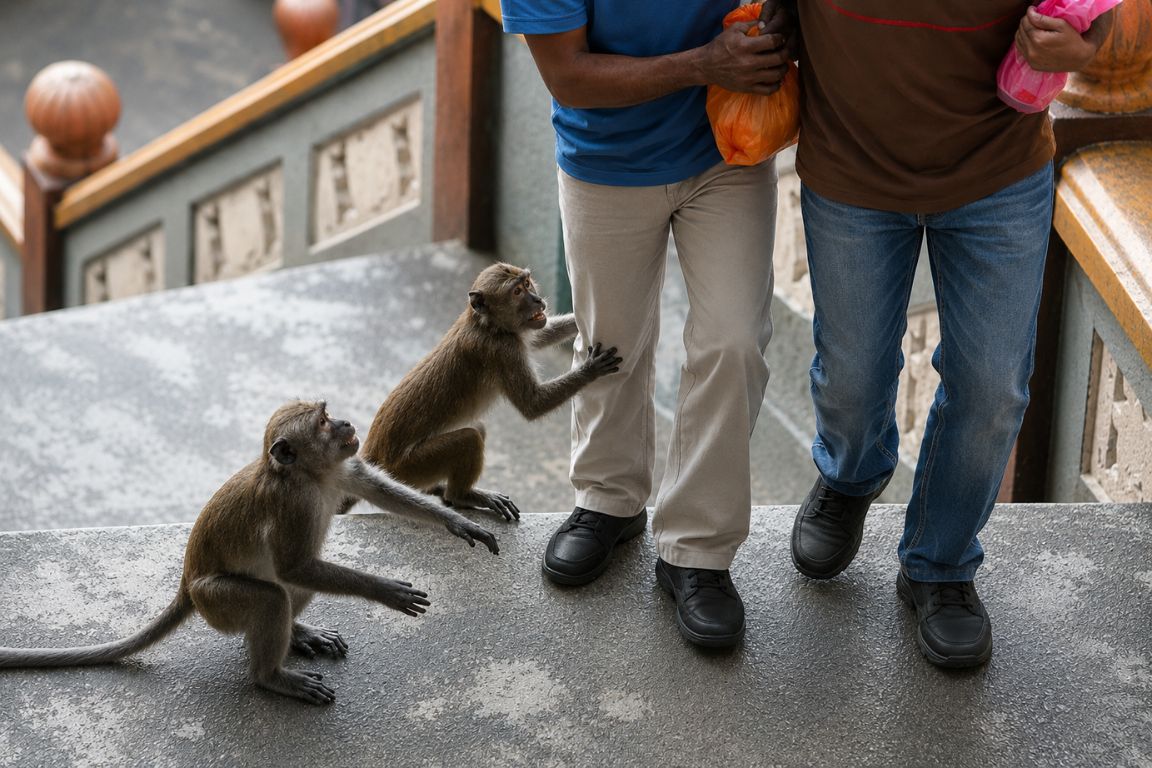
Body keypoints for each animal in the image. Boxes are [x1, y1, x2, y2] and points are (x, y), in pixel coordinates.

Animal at [0, 400, 498, 705]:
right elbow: (296, 564)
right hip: (216, 602)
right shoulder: (294, 504)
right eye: (322, 422)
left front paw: (458, 521)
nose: (346, 423)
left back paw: (296, 633)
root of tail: (187, 584)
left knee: (289, 586)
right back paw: (269, 675)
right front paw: (386, 591)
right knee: (273, 594)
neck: (310, 476)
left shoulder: (342, 469)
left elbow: (378, 491)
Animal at [355, 262, 623, 521]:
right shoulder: (503, 351)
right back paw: (460, 496)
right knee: (469, 438)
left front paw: (576, 322)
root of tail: (372, 454)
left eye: (527, 283)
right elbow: (532, 405)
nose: (537, 300)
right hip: (409, 466)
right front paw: (591, 370)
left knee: (476, 430)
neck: (487, 325)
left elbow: (542, 334)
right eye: (517, 292)